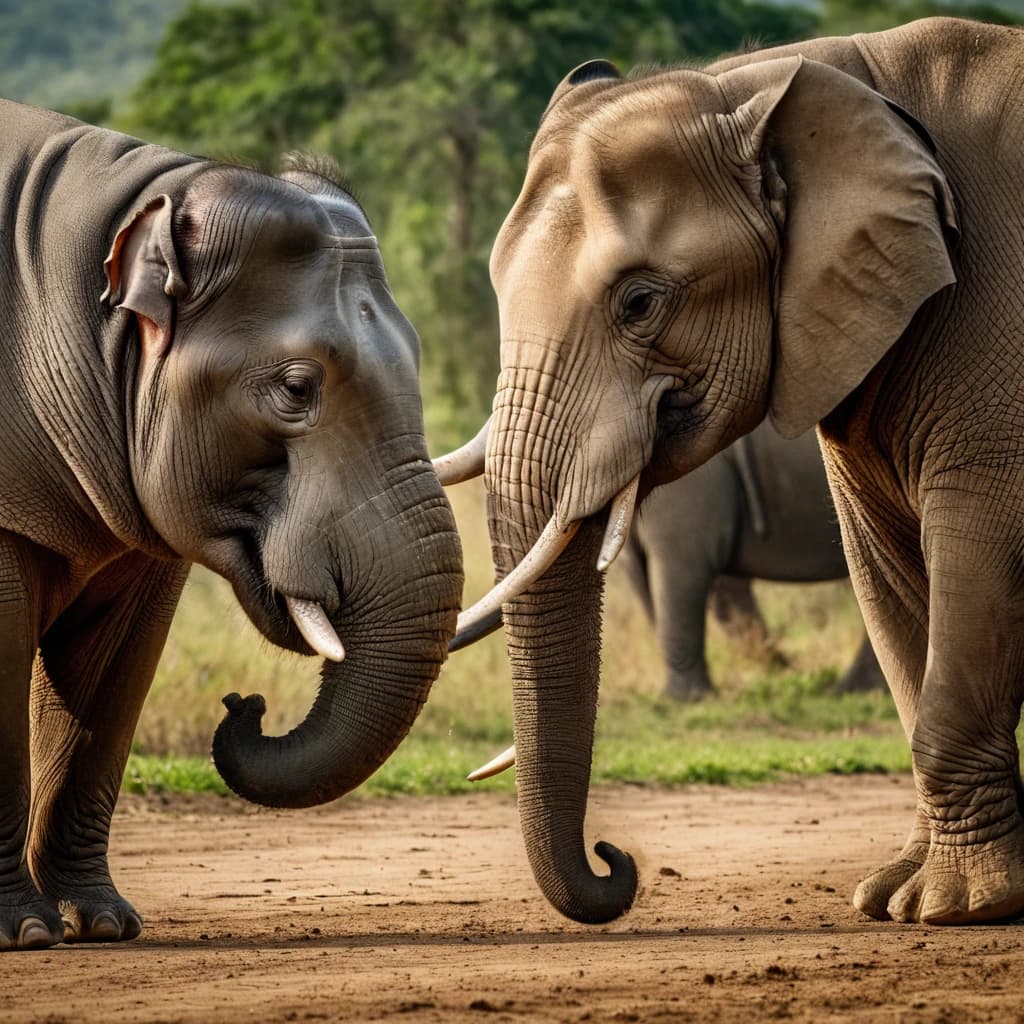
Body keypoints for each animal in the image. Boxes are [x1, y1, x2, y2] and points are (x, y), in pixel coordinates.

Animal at [0, 101, 463, 951]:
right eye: (297, 388)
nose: (244, 705)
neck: (137, 199)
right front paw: (27, 934)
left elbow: (116, 668)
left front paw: (104, 923)